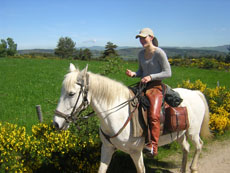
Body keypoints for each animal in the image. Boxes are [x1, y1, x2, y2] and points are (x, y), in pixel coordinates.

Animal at [53, 64, 211, 173]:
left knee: (199, 146)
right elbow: (102, 169)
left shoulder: (136, 152)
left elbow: (141, 170)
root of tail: (196, 93)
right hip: (180, 134)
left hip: (192, 132)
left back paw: (193, 168)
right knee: (186, 148)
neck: (117, 114)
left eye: (71, 94)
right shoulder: (107, 148)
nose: (56, 123)